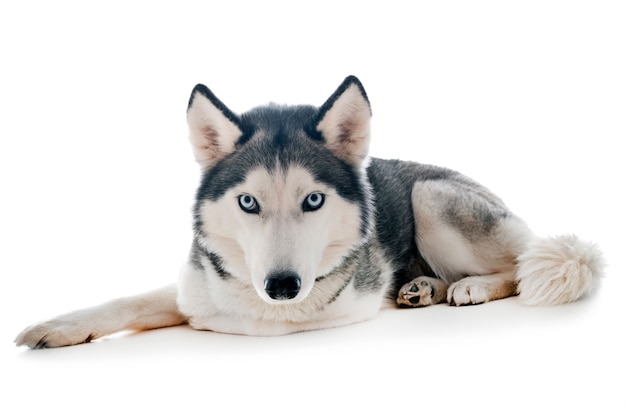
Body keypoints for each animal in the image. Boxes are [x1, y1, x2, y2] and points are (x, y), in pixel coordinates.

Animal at [14, 77, 604, 348]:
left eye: (313, 200)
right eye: (248, 202)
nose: (281, 286)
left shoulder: (317, 309)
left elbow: (225, 316)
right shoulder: (198, 279)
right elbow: (136, 300)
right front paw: (60, 327)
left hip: (432, 197)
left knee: (520, 266)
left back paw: (472, 286)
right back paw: (423, 288)